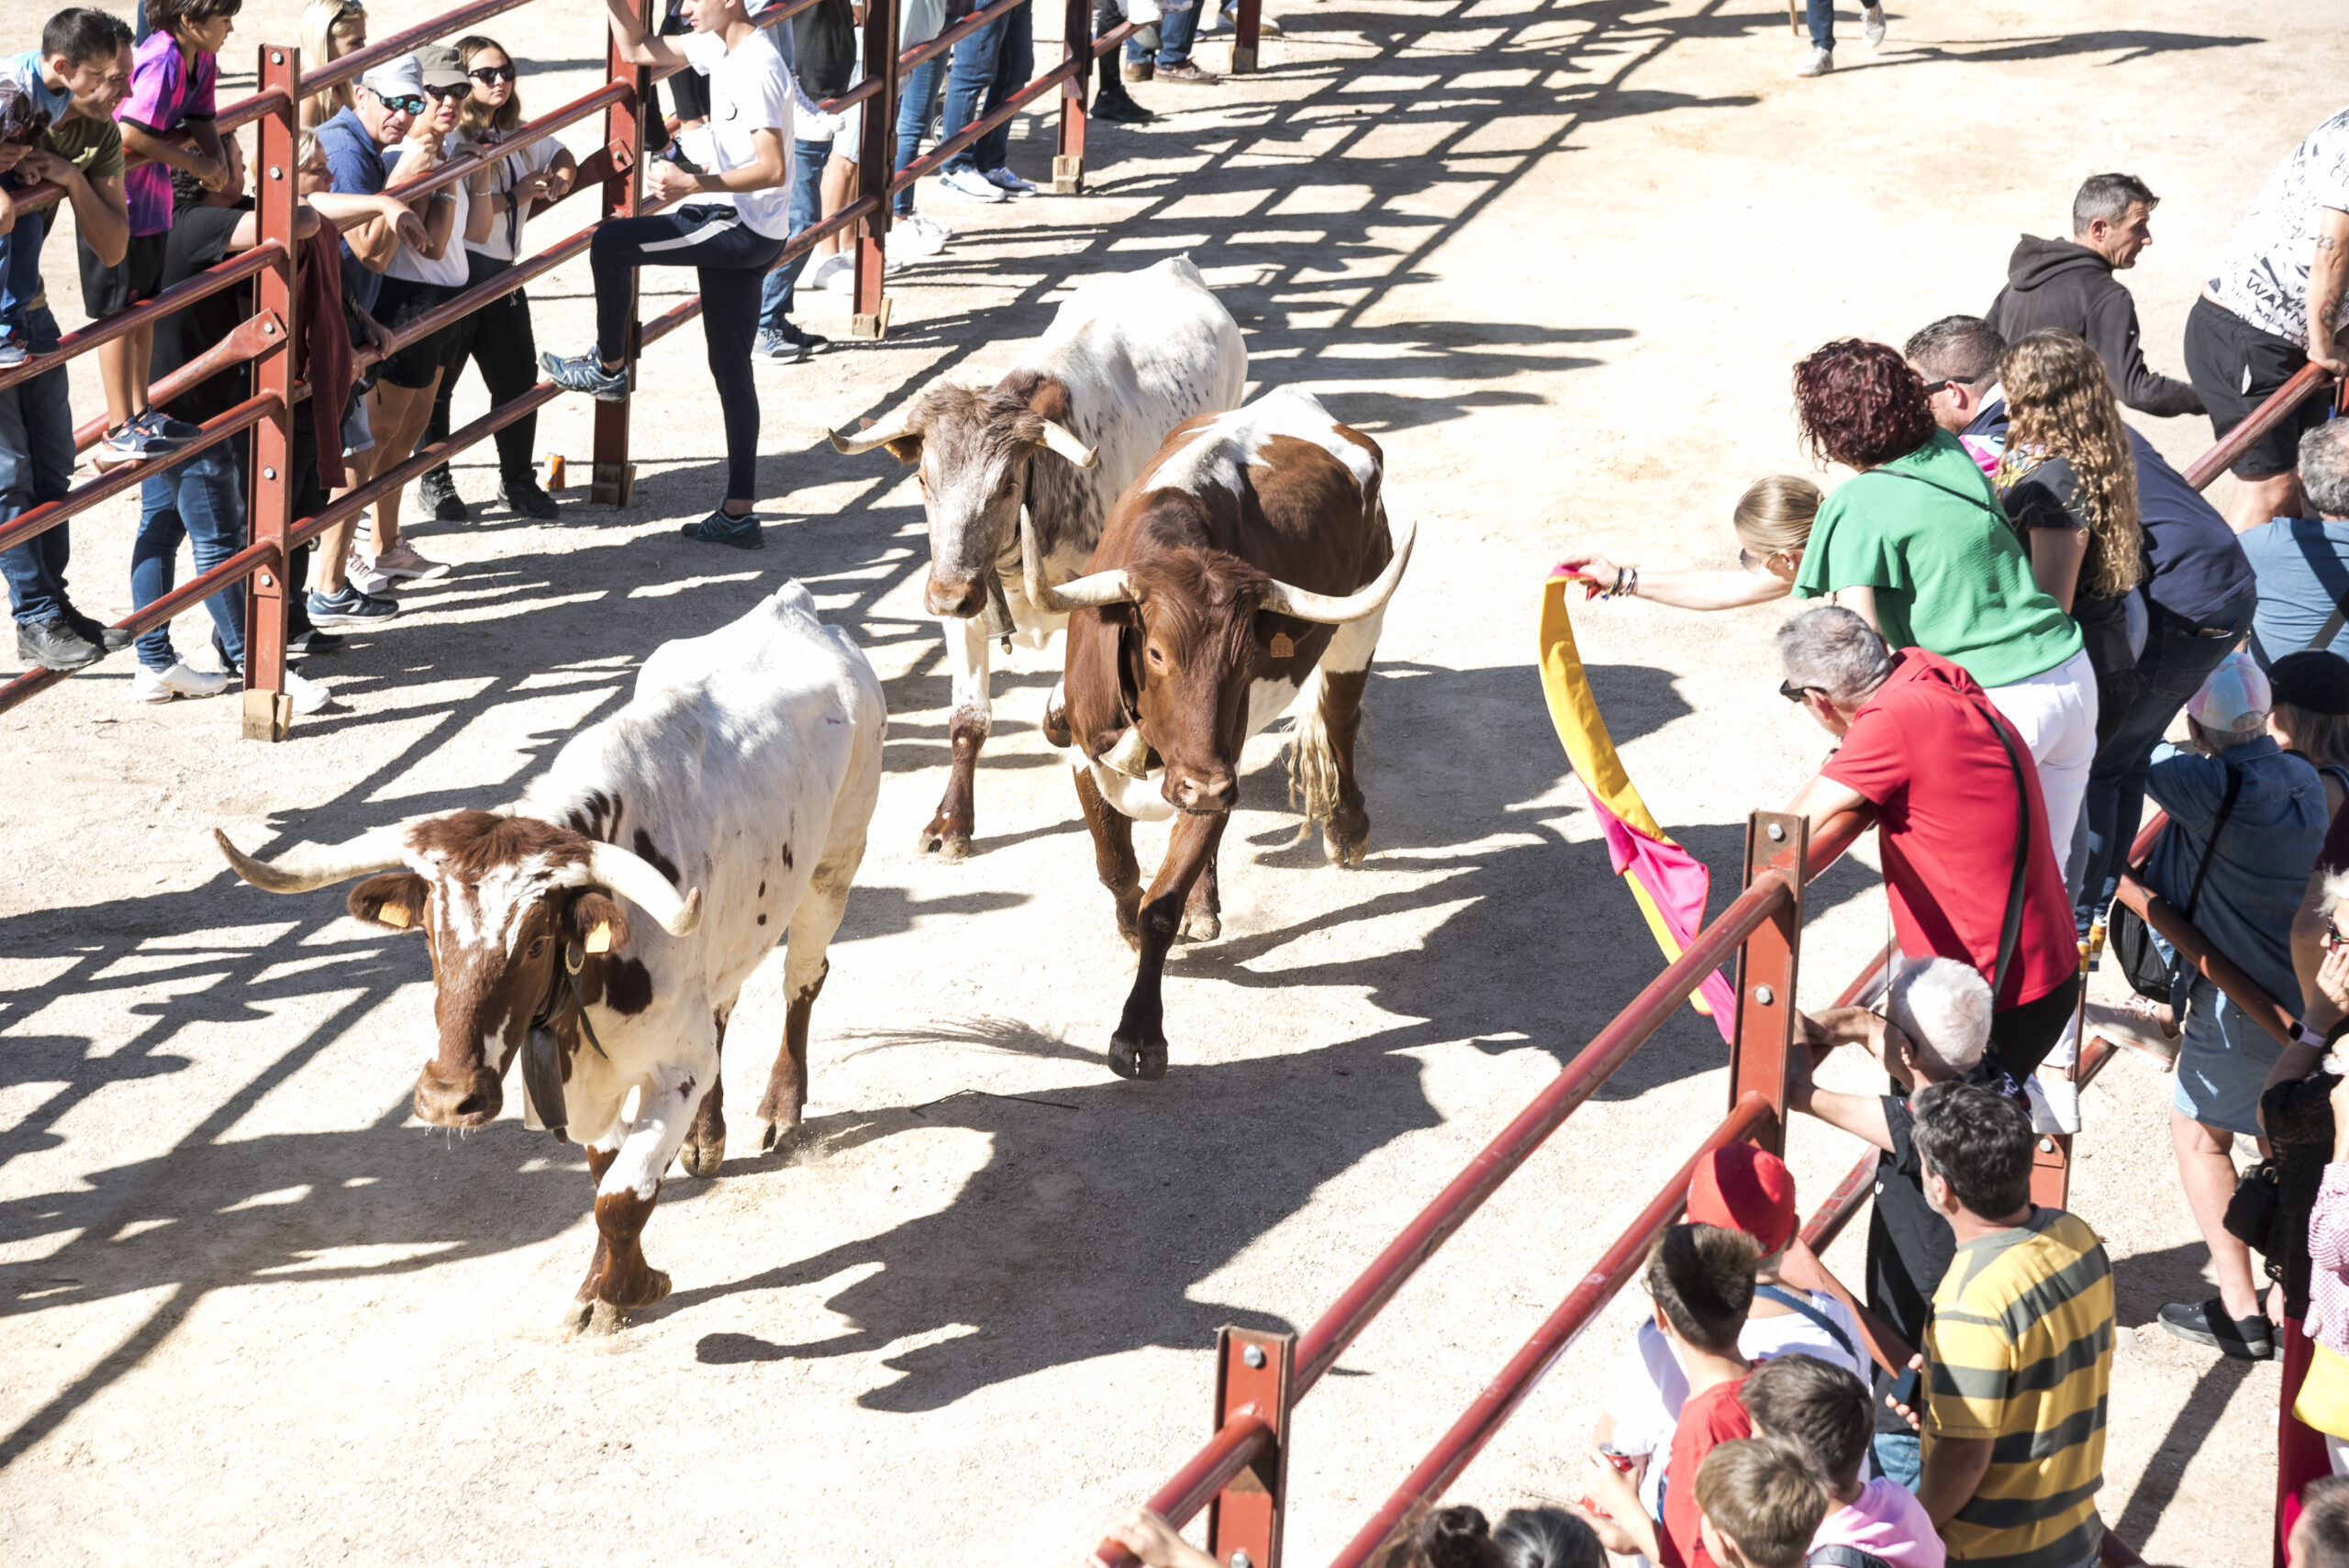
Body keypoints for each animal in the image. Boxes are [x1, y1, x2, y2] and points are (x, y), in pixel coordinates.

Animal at [211, 582, 883, 1333]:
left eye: (535, 941)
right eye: (430, 935)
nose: (447, 1098)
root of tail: (793, 606)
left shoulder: (674, 1069)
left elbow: (621, 1195)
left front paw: (620, 1291)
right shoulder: (589, 1078)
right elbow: (605, 1176)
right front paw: (611, 1282)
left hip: (834, 865)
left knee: (803, 979)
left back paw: (781, 1106)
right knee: (726, 1000)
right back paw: (706, 1137)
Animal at [1024, 384, 1409, 1084]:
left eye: (1245, 658)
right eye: (1154, 650)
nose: (1203, 783)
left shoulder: (1219, 768)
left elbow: (1161, 901)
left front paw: (1140, 1032)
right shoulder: (1090, 758)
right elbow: (1117, 868)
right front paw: (1134, 925)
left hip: (1360, 623)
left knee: (1340, 717)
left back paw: (1346, 829)